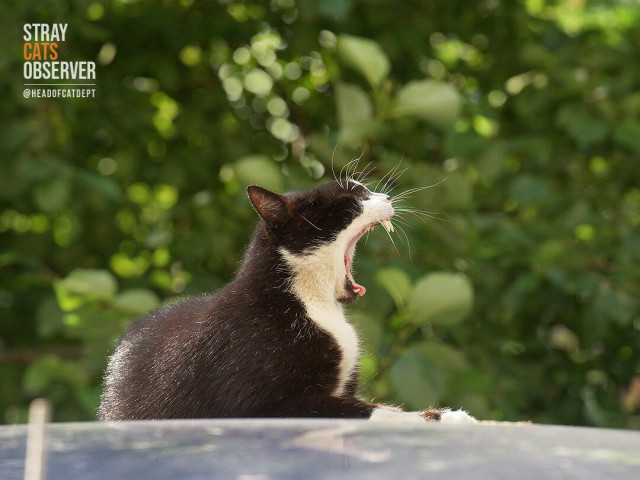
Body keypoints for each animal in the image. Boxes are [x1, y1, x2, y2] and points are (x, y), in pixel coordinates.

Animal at [99, 177, 476, 424]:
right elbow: (366, 410)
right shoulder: (258, 406)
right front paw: (438, 418)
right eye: (354, 196)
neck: (312, 301)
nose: (385, 196)